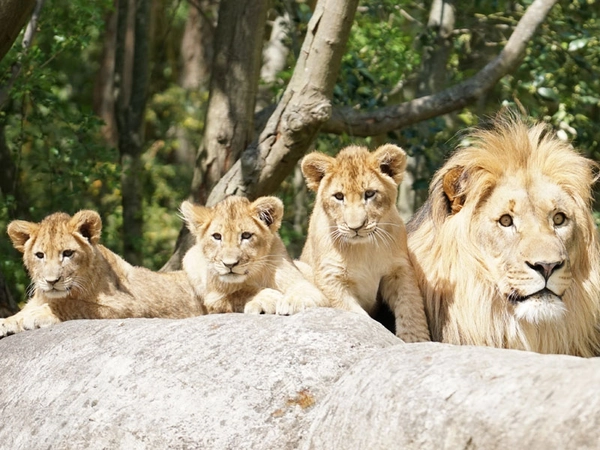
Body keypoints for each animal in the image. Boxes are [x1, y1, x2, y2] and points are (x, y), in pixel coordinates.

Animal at [0, 209, 204, 336]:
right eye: (40, 255)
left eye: (67, 253)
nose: (51, 281)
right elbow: (18, 314)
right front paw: (7, 322)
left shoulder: (132, 307)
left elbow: (77, 305)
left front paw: (36, 315)